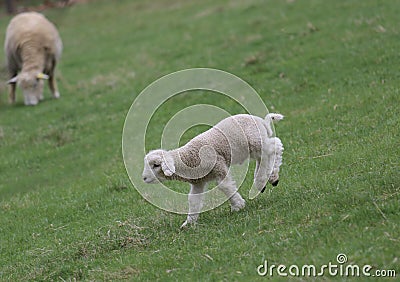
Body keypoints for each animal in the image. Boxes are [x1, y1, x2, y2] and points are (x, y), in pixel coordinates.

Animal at [141, 112, 284, 227]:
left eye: (156, 165)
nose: (144, 178)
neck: (189, 158)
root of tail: (261, 121)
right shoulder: (198, 182)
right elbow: (193, 200)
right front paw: (189, 223)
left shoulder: (218, 167)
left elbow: (225, 186)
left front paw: (237, 206)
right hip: (254, 145)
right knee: (263, 157)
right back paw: (263, 180)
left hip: (255, 142)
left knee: (275, 145)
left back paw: (272, 175)